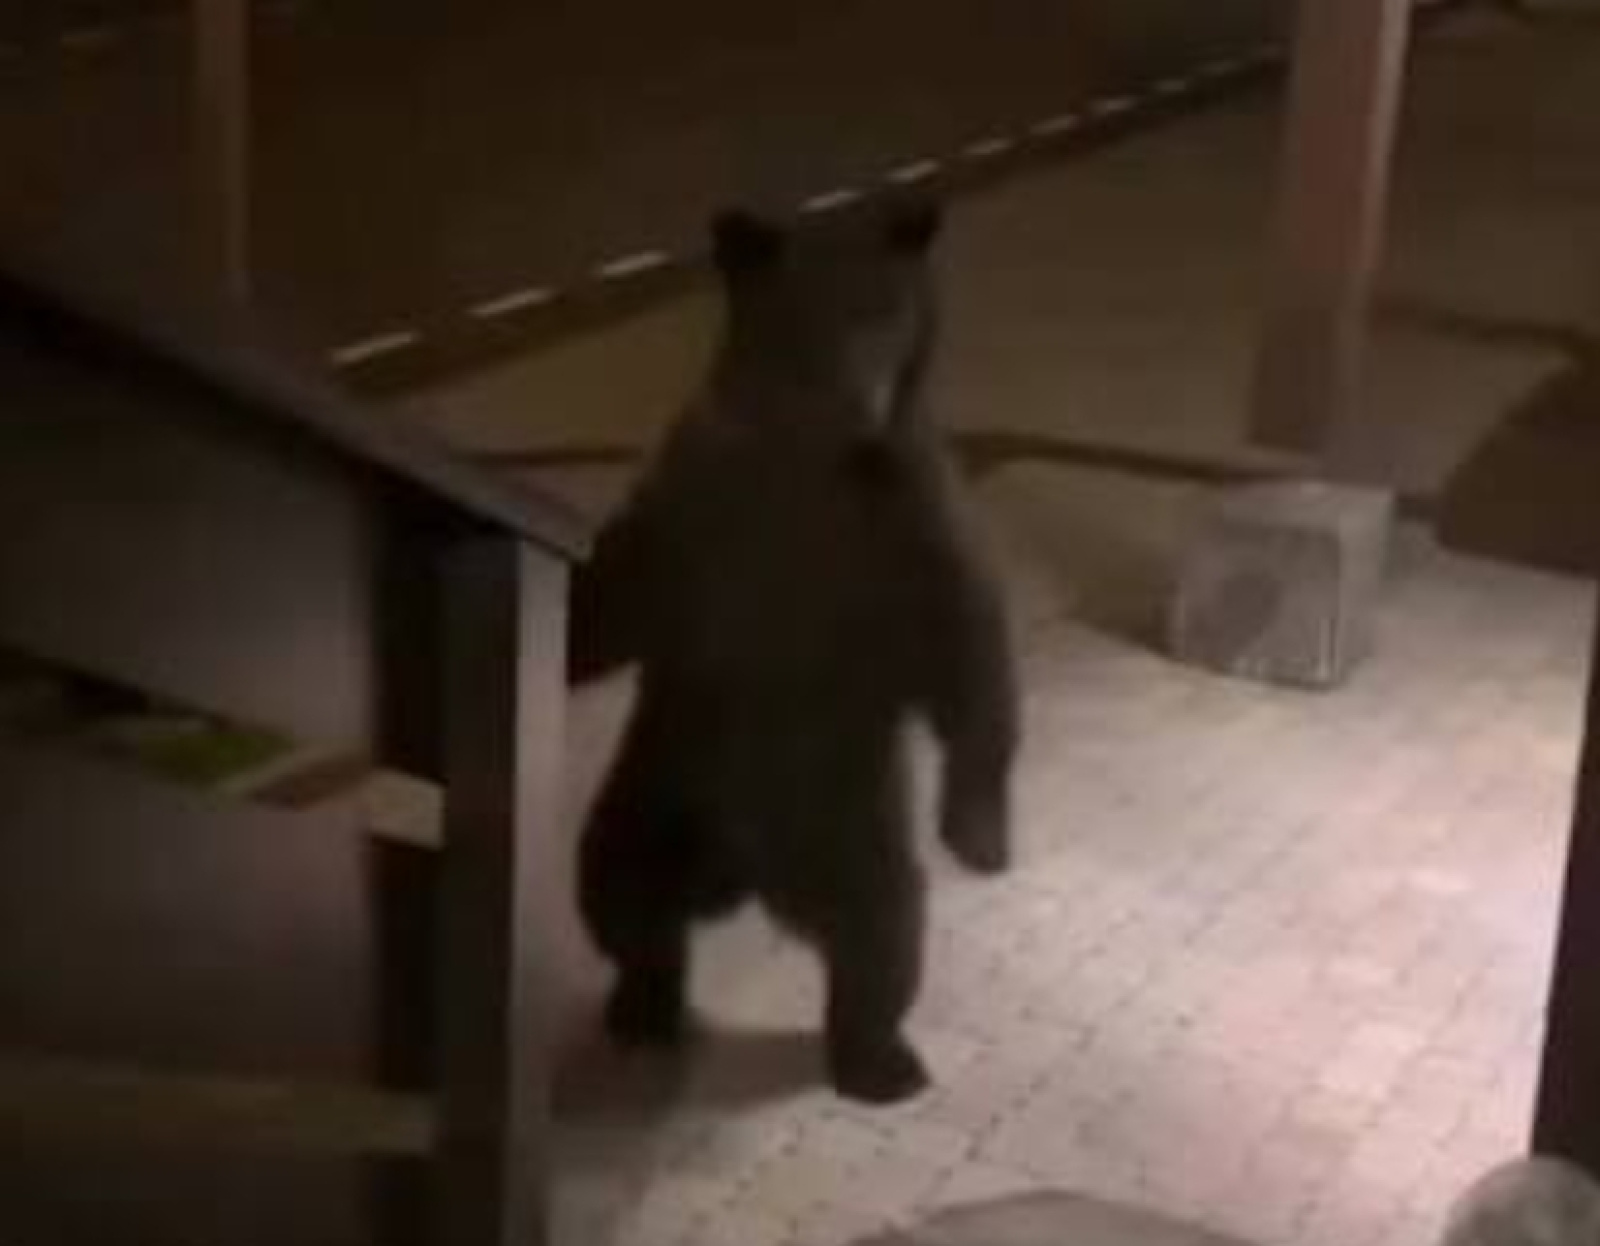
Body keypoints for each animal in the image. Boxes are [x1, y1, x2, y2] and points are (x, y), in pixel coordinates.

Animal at [569, 200, 1020, 1104]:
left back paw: (881, 1061)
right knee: (619, 889)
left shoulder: (900, 518)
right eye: (801, 320)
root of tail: (746, 872)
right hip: (660, 788)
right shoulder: (701, 497)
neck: (809, 458)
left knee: (883, 931)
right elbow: (620, 589)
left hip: (845, 819)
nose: (861, 402)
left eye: (883, 312)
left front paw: (980, 834)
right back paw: (642, 1008)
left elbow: (967, 644)